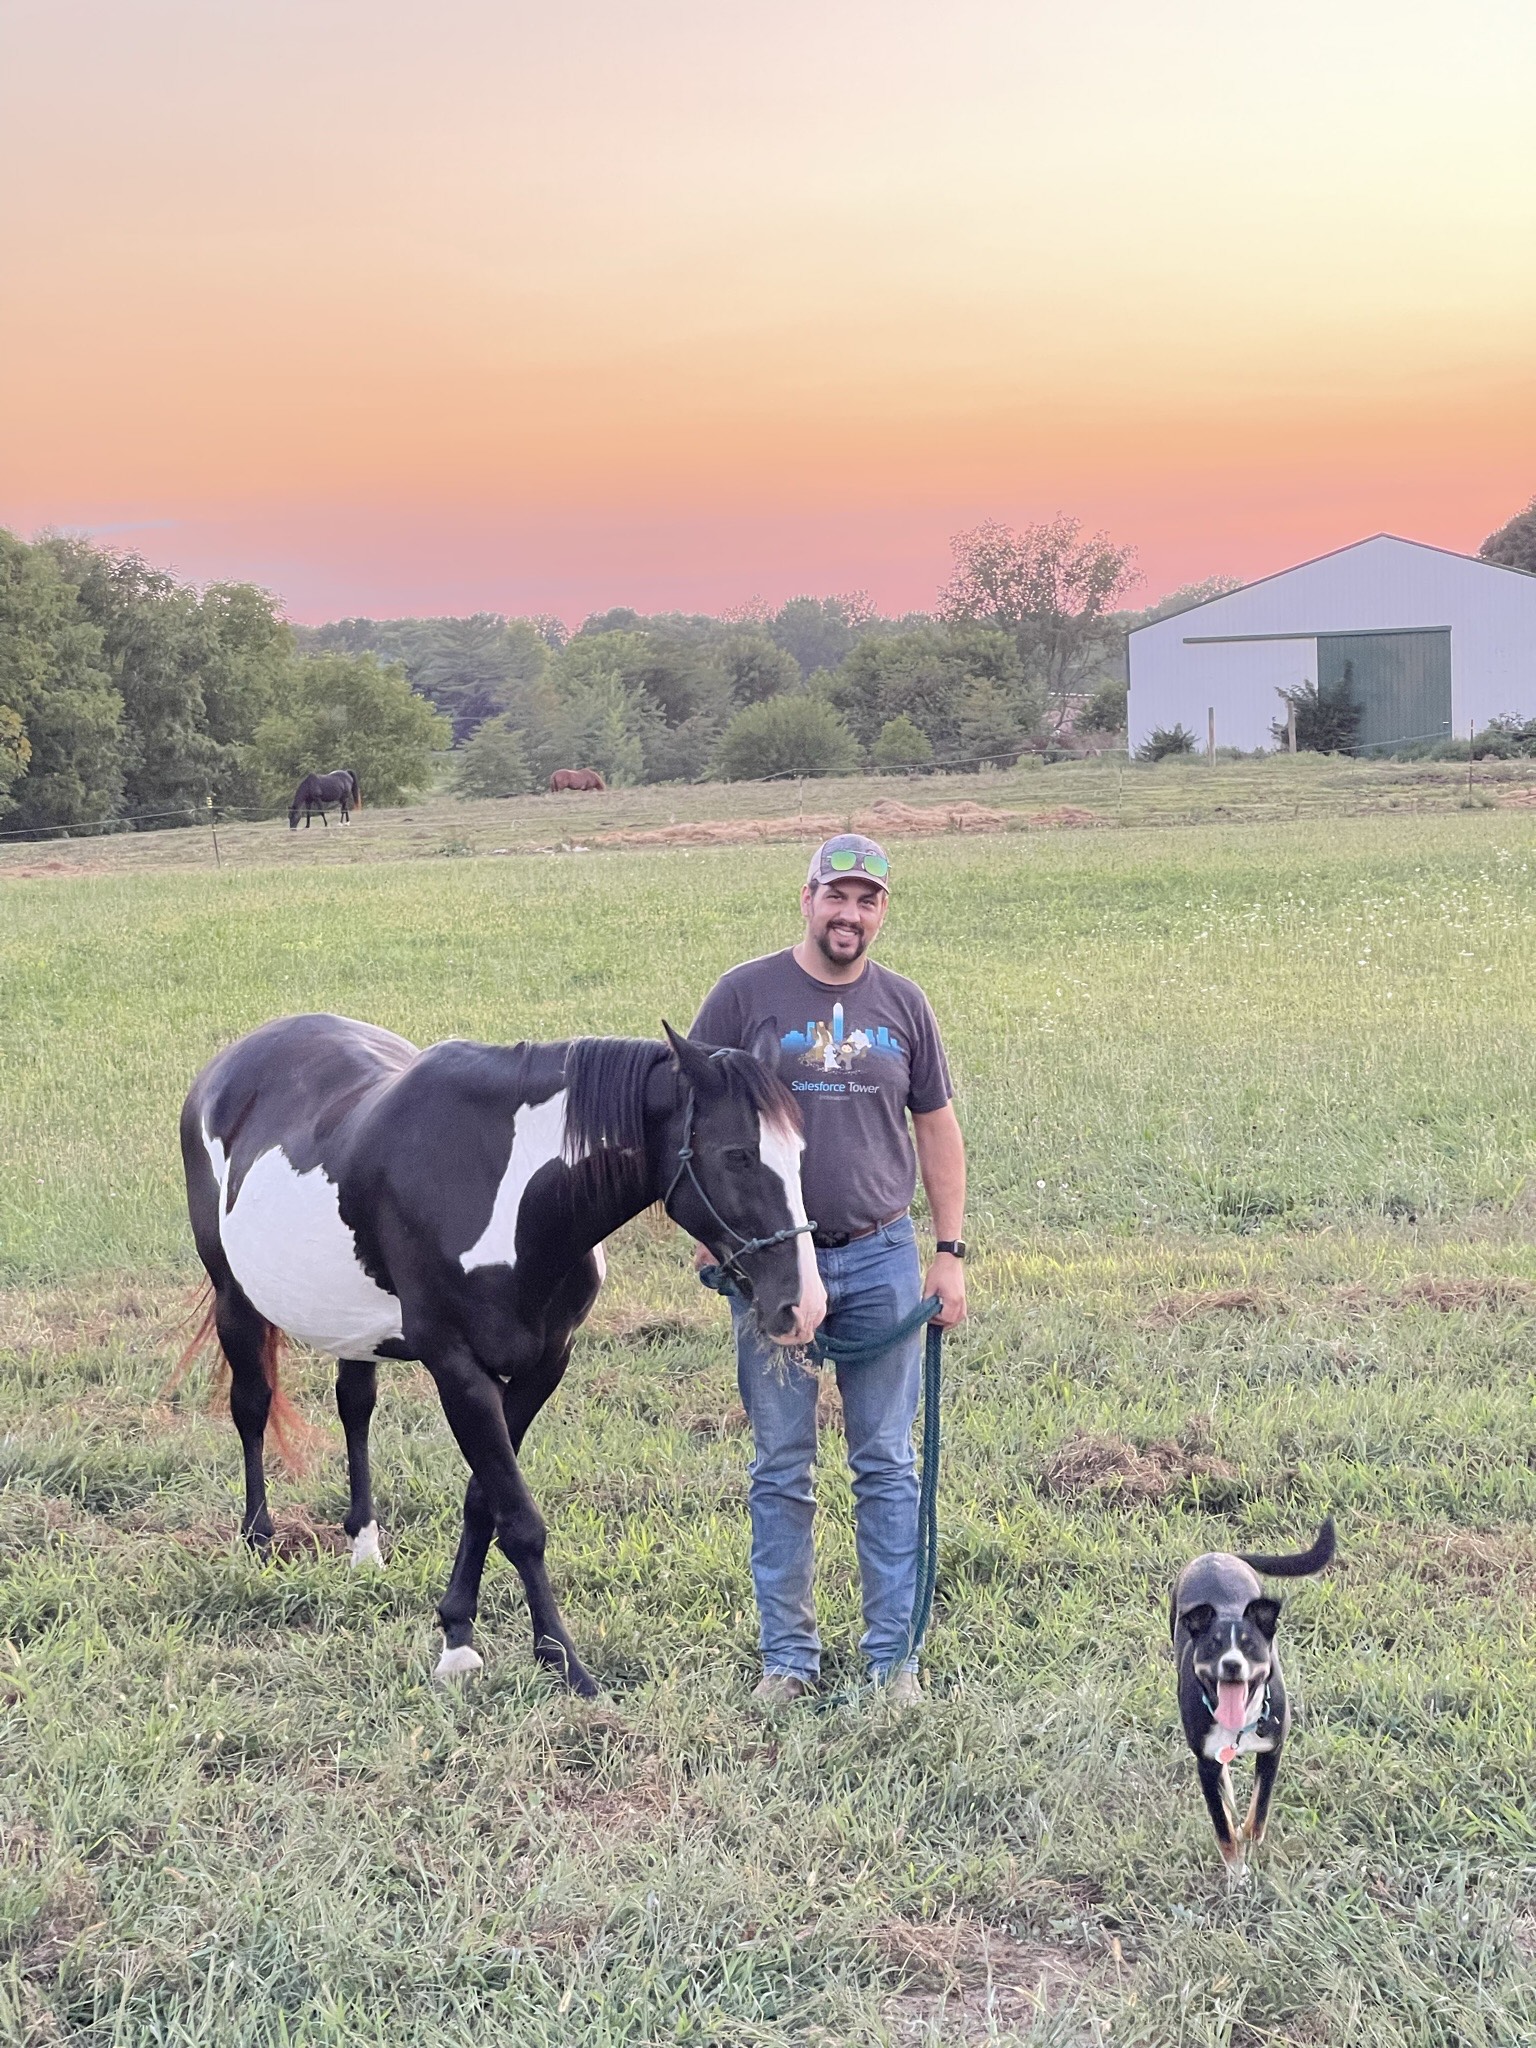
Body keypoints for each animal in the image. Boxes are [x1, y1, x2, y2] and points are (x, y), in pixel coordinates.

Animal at [177, 1011, 831, 1695]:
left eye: (798, 1153)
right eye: (737, 1155)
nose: (803, 1308)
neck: (508, 1194)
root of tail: (228, 1067)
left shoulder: (543, 1365)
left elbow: (483, 1501)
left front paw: (458, 1633)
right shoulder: (457, 1368)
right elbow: (519, 1520)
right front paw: (562, 1661)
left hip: (351, 1321)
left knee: (355, 1405)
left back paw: (364, 1547)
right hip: (234, 1297)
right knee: (252, 1406)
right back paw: (258, 1542)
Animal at [1179, 1523, 1335, 1875]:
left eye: (1249, 1646)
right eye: (1214, 1645)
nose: (1232, 1664)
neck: (1239, 1727)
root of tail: (1218, 1555)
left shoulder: (1271, 1751)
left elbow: (1258, 1813)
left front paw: (1248, 1841)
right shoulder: (1205, 1764)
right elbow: (1223, 1827)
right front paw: (1237, 1871)